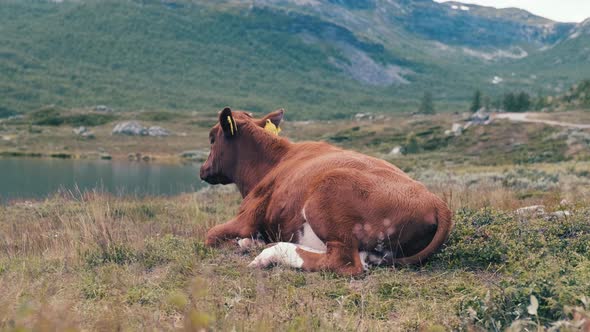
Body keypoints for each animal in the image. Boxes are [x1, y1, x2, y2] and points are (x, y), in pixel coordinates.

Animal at [201, 107, 456, 276]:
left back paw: (269, 254)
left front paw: (245, 243)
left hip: (327, 193)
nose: (202, 169)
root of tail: (437, 202)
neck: (272, 163)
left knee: (344, 262)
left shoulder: (246, 219)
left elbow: (210, 234)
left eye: (212, 139)